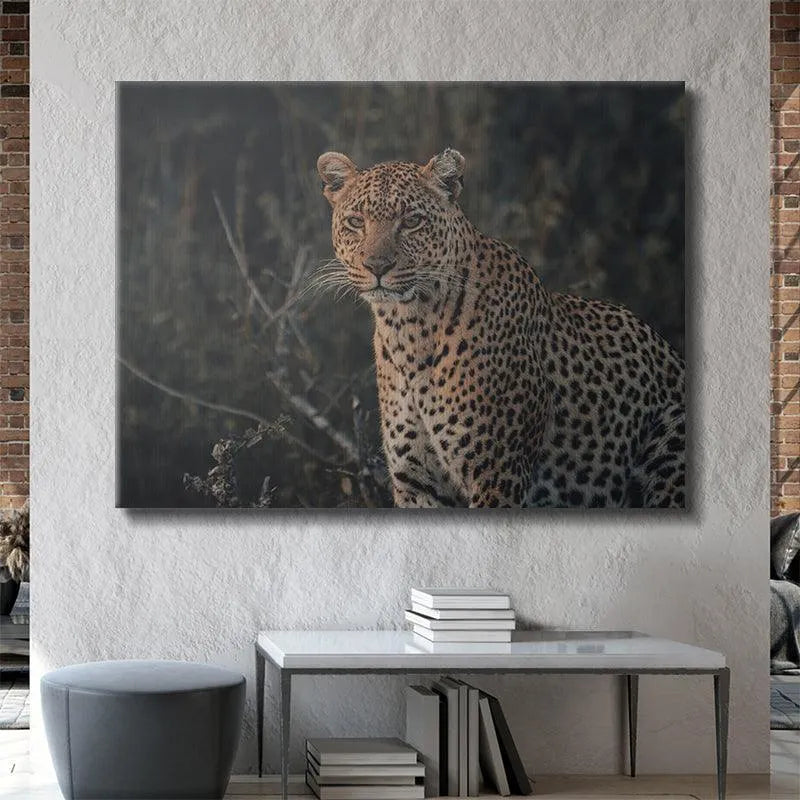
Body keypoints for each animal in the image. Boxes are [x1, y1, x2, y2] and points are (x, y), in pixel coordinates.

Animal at [316, 148, 685, 508]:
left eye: (412, 222)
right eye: (356, 222)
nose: (377, 266)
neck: (409, 327)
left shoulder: (498, 474)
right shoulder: (418, 484)